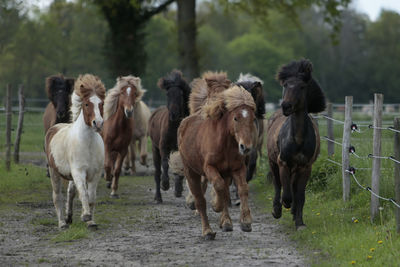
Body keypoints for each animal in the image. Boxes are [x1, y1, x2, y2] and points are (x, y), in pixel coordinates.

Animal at [44, 74, 105, 230]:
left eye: (101, 103)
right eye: (87, 104)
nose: (98, 123)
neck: (88, 143)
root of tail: (54, 128)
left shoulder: (95, 174)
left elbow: (91, 197)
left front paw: (91, 222)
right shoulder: (78, 172)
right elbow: (83, 194)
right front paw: (86, 216)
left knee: (70, 193)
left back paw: (68, 217)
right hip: (54, 172)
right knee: (57, 196)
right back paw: (62, 223)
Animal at [148, 70, 191, 204]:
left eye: (181, 94)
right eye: (168, 94)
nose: (174, 114)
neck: (174, 127)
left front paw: (178, 190)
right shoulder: (163, 147)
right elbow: (165, 164)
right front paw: (165, 184)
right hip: (154, 149)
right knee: (157, 172)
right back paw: (158, 197)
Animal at [266, 59, 324, 231]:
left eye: (302, 86)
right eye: (285, 85)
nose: (286, 106)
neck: (298, 139)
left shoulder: (305, 167)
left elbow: (300, 196)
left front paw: (300, 222)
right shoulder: (283, 163)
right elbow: (286, 193)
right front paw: (282, 207)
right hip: (273, 162)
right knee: (278, 185)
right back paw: (277, 209)